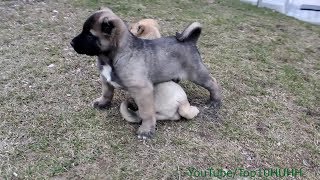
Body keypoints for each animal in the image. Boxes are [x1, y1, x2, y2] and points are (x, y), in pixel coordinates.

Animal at [70, 7, 221, 139]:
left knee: (213, 83)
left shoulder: (143, 90)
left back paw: (215, 101)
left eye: (90, 35)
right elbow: (107, 93)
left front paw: (146, 130)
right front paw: (102, 103)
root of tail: (190, 41)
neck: (114, 56)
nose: (71, 43)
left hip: (197, 74)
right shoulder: (105, 79)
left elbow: (146, 113)